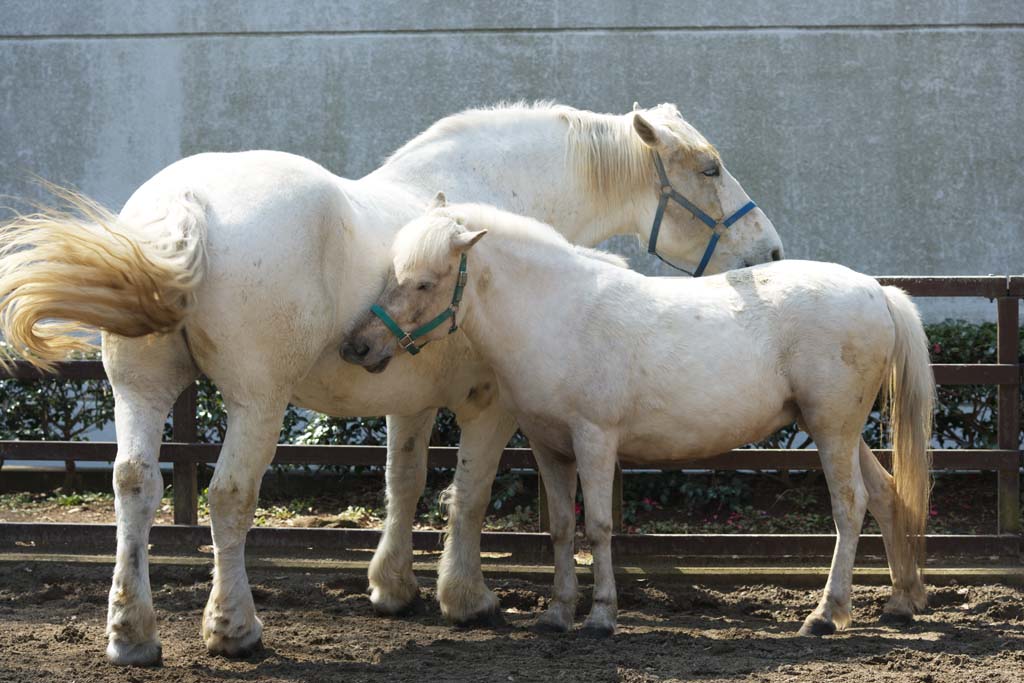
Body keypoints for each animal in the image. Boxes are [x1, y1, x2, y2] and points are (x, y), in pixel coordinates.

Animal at [0, 104, 782, 663]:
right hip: (257, 400)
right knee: (228, 498)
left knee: (135, 484)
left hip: (141, 388)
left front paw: (394, 587)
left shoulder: (407, 401)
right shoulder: (488, 404)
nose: (770, 251)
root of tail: (184, 205)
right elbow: (469, 494)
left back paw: (132, 634)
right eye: (710, 168)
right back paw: (235, 629)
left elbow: (403, 485)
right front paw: (466, 598)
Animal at [346, 200, 937, 638]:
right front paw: (557, 615)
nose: (359, 346)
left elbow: (599, 527)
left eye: (425, 283)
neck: (559, 315)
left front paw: (601, 617)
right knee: (885, 494)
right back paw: (902, 601)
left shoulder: (594, 441)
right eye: (394, 274)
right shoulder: (548, 447)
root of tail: (875, 290)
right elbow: (562, 528)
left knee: (849, 507)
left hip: (832, 430)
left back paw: (825, 615)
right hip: (841, 429)